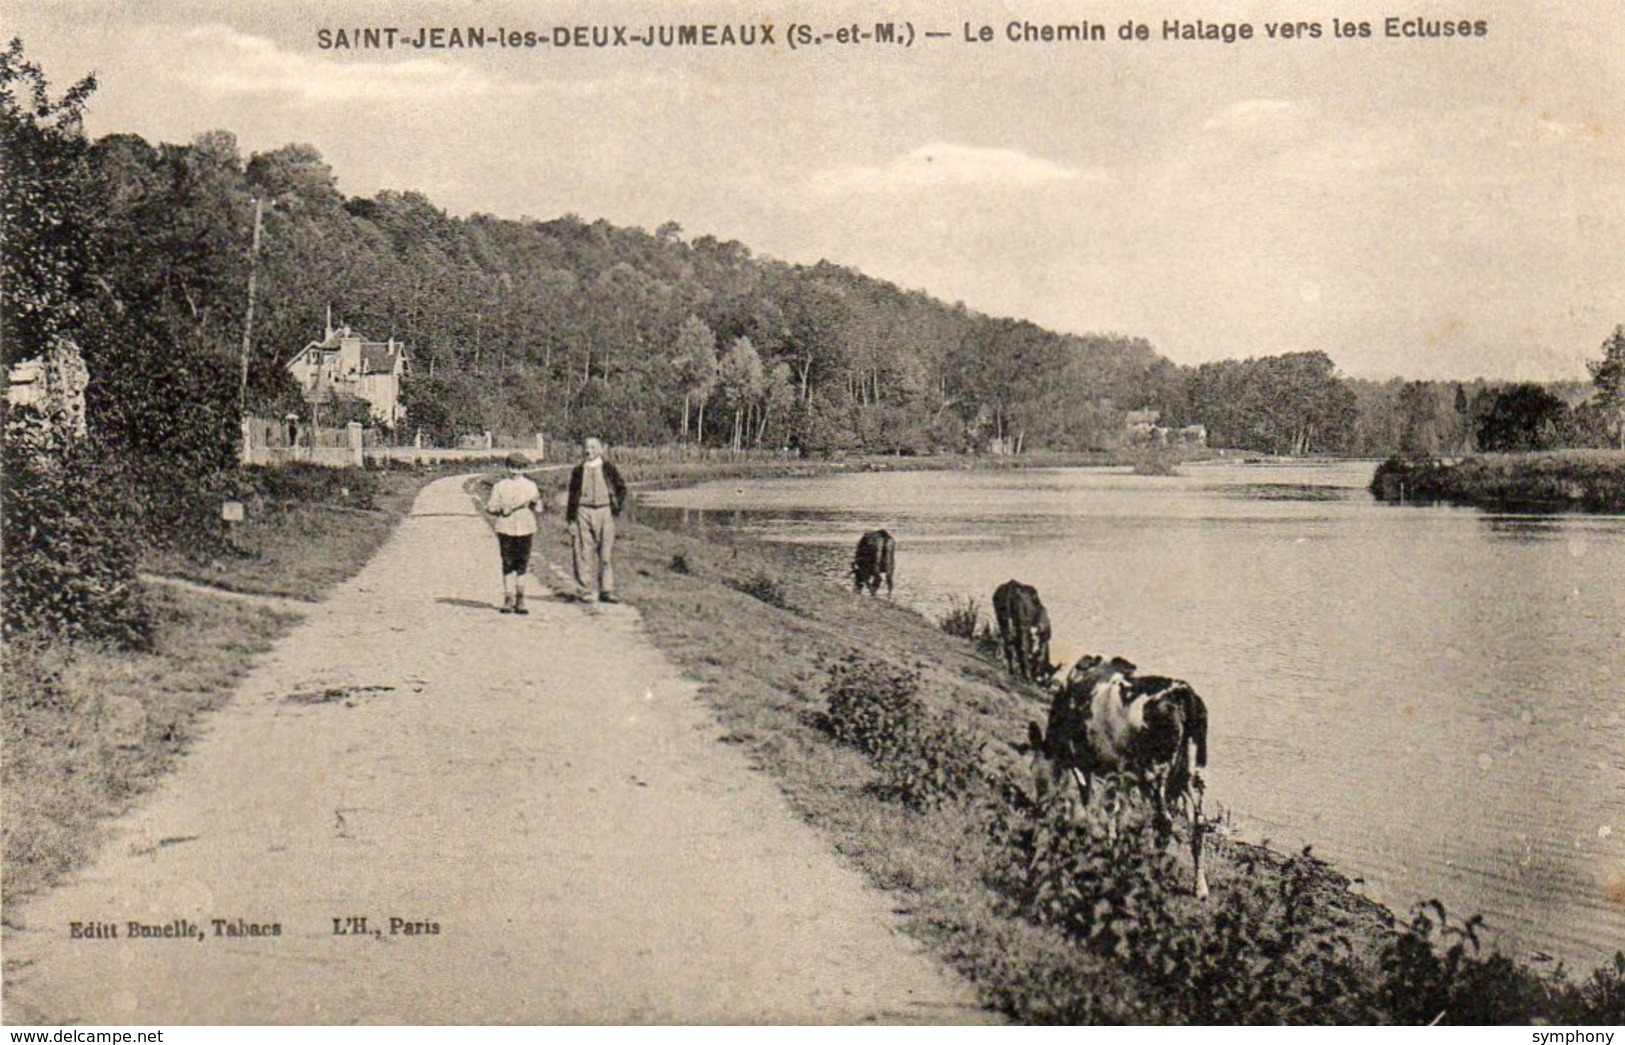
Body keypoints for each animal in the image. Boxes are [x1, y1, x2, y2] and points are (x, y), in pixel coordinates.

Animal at [1027, 653, 1209, 897]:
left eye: (1034, 770)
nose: (1038, 808)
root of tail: (1182, 691)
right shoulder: (1125, 774)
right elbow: (1121, 809)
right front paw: (1116, 844)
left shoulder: (1086, 761)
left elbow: (1093, 798)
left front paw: (1093, 835)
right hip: (1191, 778)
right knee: (1198, 825)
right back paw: (1200, 888)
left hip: (1156, 773)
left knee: (1164, 822)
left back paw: (1150, 875)